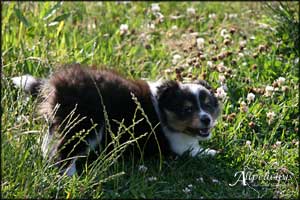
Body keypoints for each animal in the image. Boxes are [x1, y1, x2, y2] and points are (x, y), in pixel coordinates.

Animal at [12, 64, 220, 175]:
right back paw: (71, 176)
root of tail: (56, 84)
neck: (162, 108)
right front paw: (213, 152)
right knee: (67, 151)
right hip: (85, 124)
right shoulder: (176, 145)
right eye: (187, 109)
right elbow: (194, 150)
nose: (206, 119)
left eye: (208, 105)